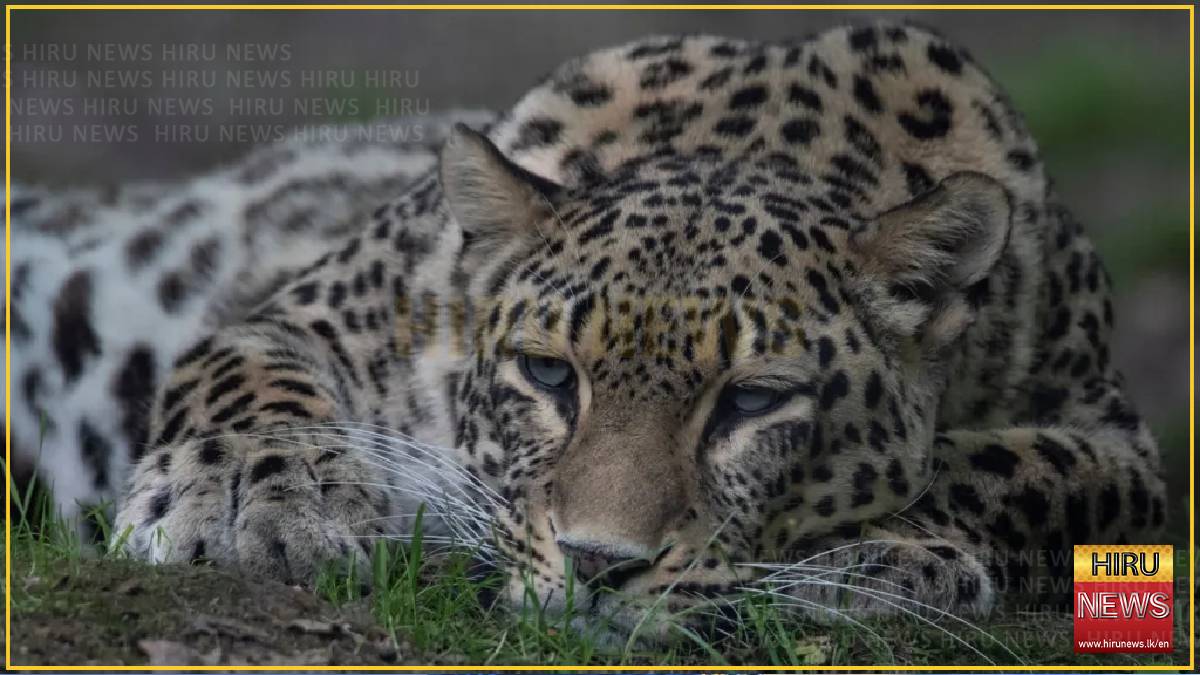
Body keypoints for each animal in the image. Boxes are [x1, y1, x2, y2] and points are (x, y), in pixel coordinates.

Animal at [13, 22, 1166, 641]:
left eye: (753, 400)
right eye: (546, 374)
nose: (596, 566)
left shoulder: (1115, 439)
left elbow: (1011, 468)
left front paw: (880, 553)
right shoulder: (310, 311)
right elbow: (245, 393)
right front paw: (252, 504)